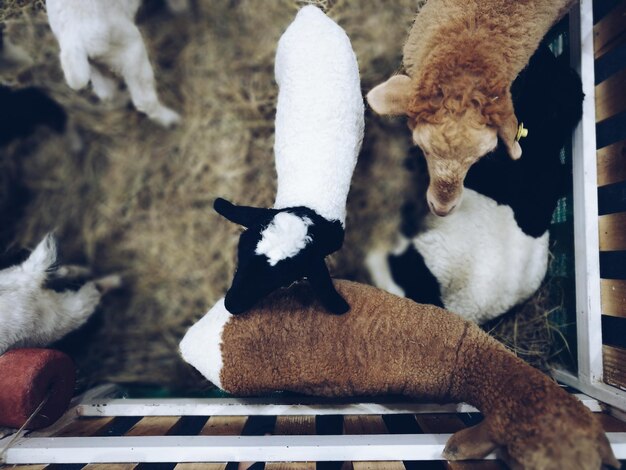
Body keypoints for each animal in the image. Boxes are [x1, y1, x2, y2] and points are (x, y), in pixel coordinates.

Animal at [44, 0, 179, 126]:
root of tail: (72, 39)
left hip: (93, 64)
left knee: (105, 93)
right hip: (131, 48)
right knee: (143, 99)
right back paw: (171, 120)